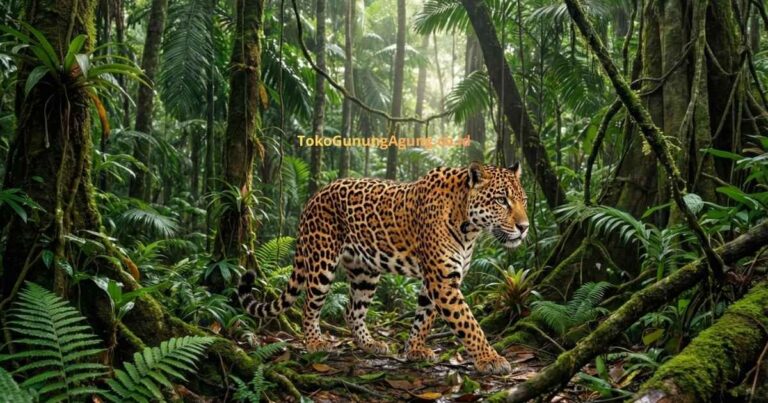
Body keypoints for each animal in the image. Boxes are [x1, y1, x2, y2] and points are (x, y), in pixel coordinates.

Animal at [237, 162, 529, 374]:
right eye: (501, 200)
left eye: (524, 200)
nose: (525, 227)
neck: (469, 227)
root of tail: (314, 196)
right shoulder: (442, 280)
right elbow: (468, 323)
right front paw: (490, 359)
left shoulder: (435, 279)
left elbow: (424, 317)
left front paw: (414, 350)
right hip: (322, 260)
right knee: (309, 306)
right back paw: (315, 342)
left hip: (364, 271)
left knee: (351, 311)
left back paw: (370, 344)